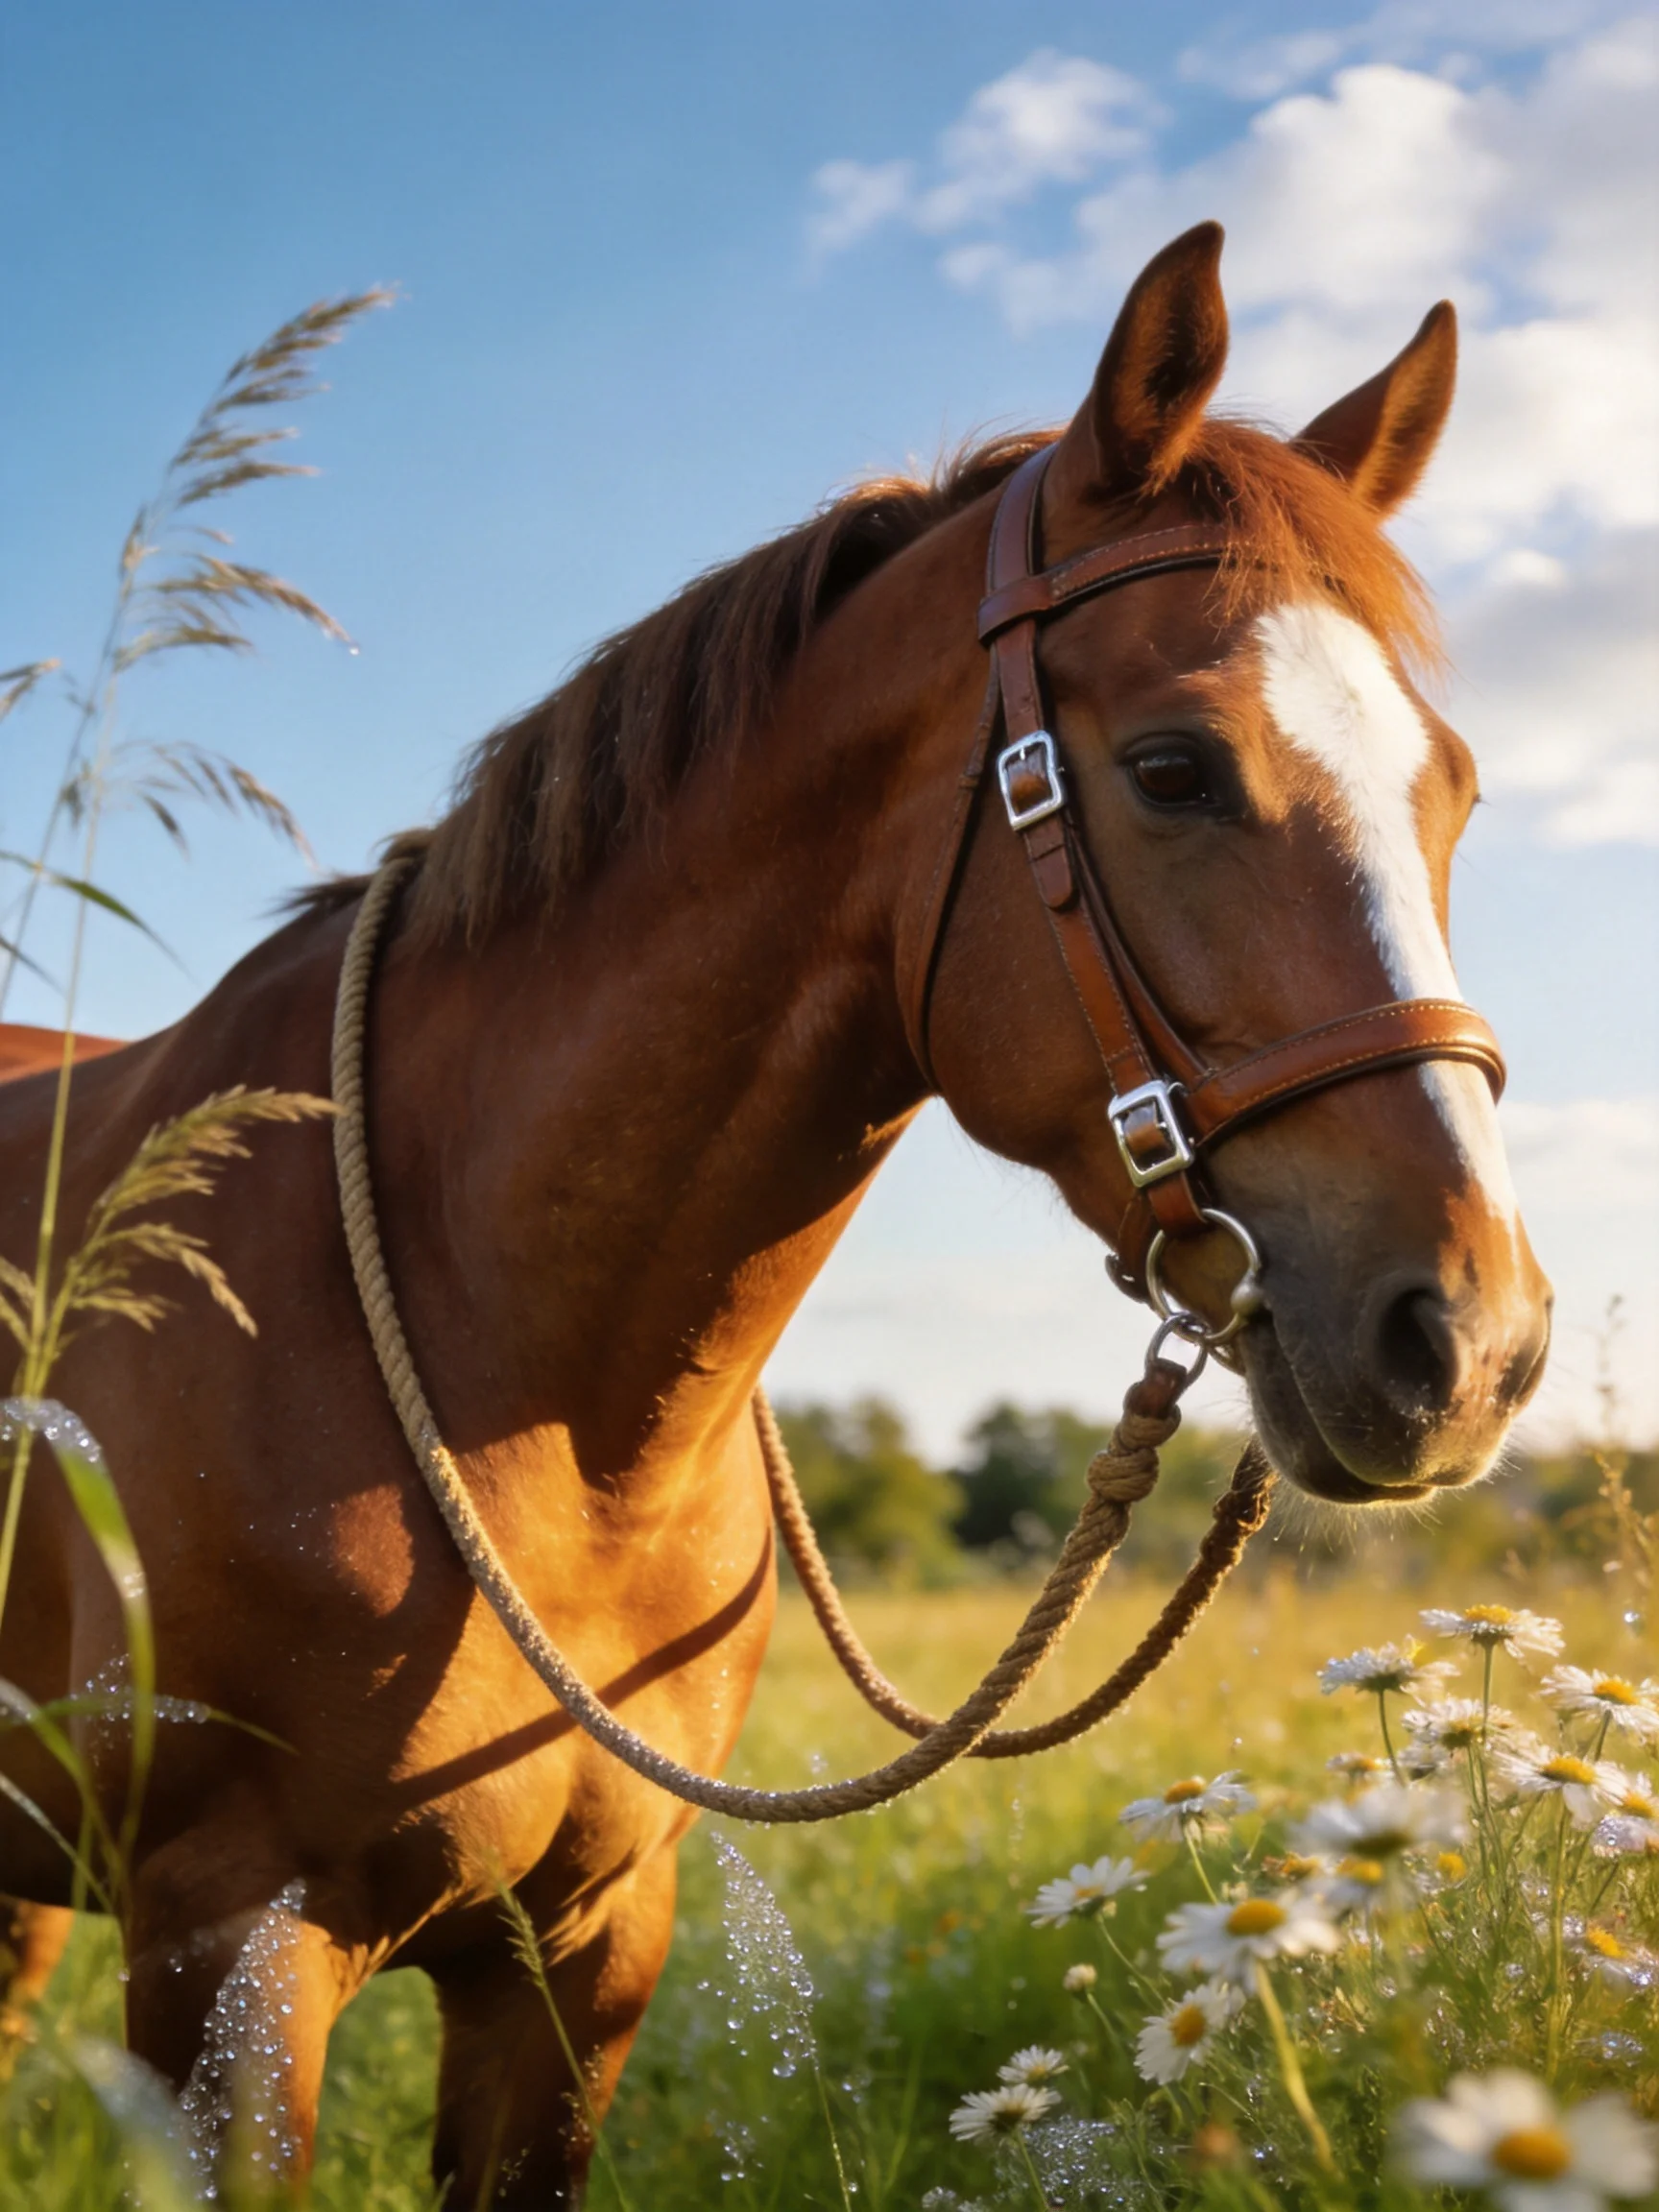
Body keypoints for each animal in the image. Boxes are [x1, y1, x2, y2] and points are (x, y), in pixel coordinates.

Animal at [0, 222, 1550, 2204]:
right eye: (1173, 766)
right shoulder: (227, 1966)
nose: (1472, 1337)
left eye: (1454, 789)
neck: (506, 1375)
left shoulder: (583, 1955)